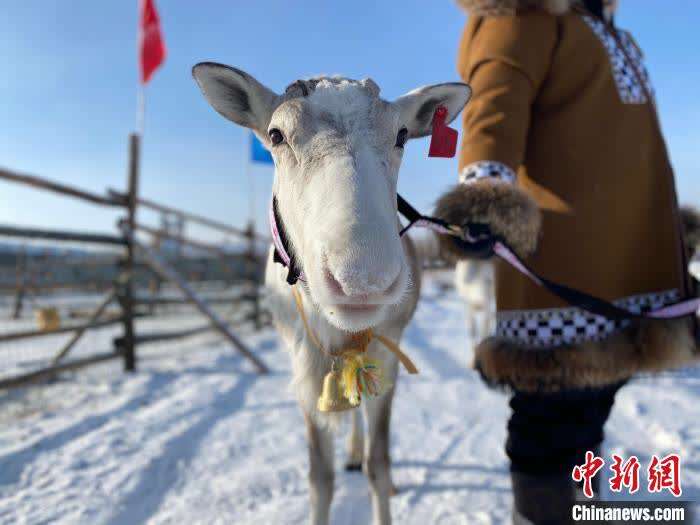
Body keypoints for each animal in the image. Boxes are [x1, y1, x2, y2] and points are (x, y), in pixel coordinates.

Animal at [192, 63, 470, 525]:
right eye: (275, 135)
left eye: (401, 134)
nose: (363, 279)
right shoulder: (303, 366)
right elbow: (319, 478)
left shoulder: (387, 357)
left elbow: (380, 464)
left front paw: (380, 478)